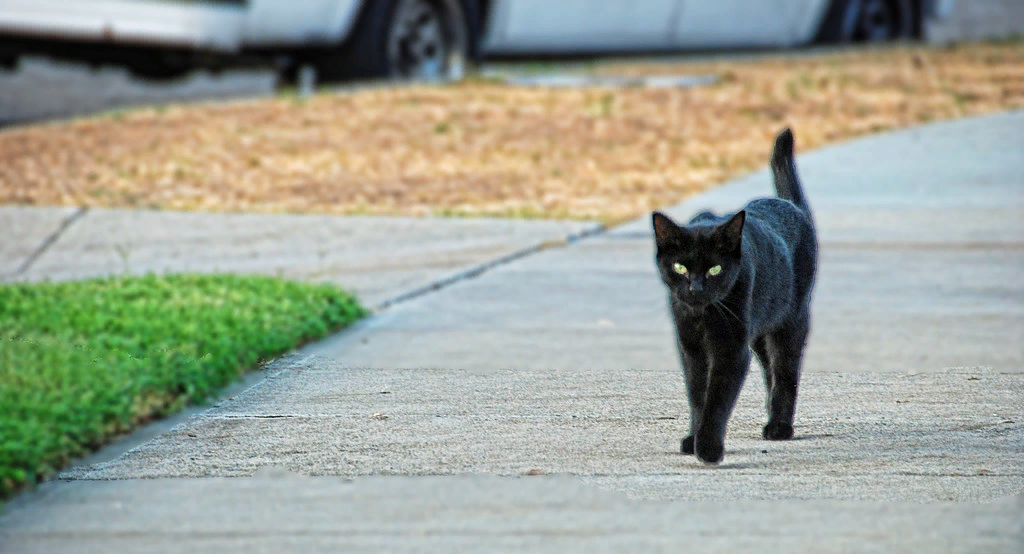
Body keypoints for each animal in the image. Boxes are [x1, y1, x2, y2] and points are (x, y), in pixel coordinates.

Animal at [651, 127, 819, 464]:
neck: (702, 318)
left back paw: (780, 426)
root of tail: (790, 206)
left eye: (715, 269)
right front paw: (693, 438)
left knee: (785, 372)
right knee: (770, 371)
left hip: (790, 321)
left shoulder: (730, 350)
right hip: (759, 330)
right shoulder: (691, 349)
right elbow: (697, 395)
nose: (696, 288)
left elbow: (716, 399)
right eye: (680, 267)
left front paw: (708, 447)